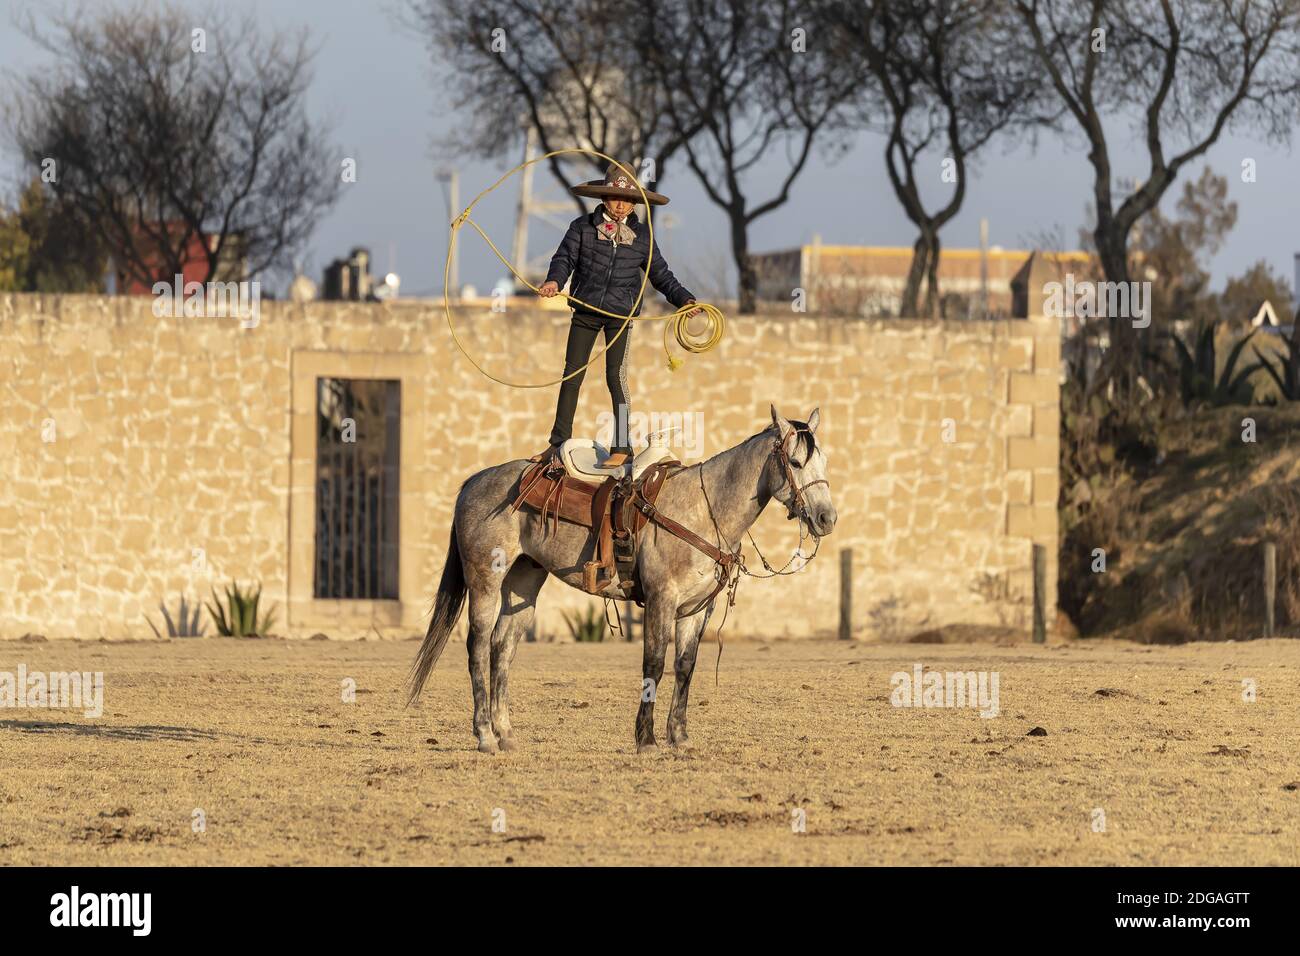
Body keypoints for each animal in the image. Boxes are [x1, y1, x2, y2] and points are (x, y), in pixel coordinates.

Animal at [406, 405, 837, 753]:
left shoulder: (696, 609)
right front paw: (645, 739)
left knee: (502, 649)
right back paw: (484, 736)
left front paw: (679, 738)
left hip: (524, 583)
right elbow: (654, 665)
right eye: (795, 463)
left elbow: (685, 667)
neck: (703, 508)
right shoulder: (662, 600)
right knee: (478, 648)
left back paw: (505, 734)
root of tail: (474, 481)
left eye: (824, 462)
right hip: (485, 581)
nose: (826, 518)